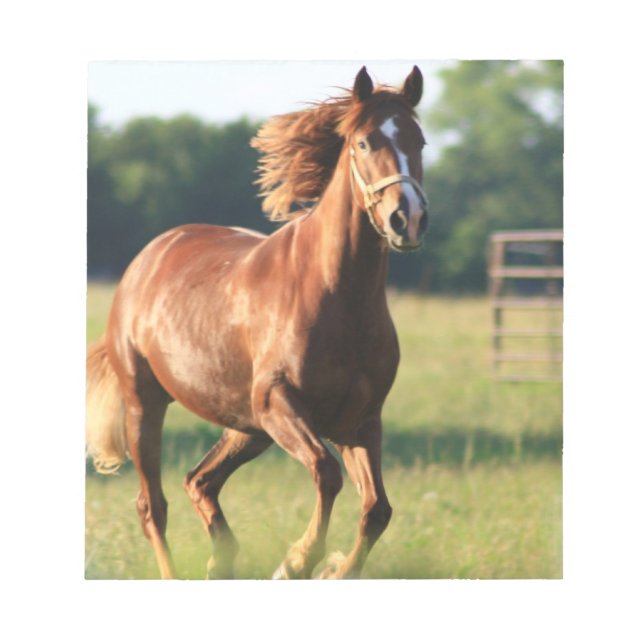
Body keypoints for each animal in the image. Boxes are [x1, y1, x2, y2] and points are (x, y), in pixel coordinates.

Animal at [86, 65, 429, 579]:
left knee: (200, 481)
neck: (336, 297)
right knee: (153, 507)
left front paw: (331, 569)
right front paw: (297, 561)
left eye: (420, 141)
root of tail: (147, 259)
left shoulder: (360, 421)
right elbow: (326, 473)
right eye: (365, 142)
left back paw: (221, 560)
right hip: (147, 406)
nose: (407, 218)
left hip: (245, 428)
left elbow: (377, 509)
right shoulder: (278, 403)